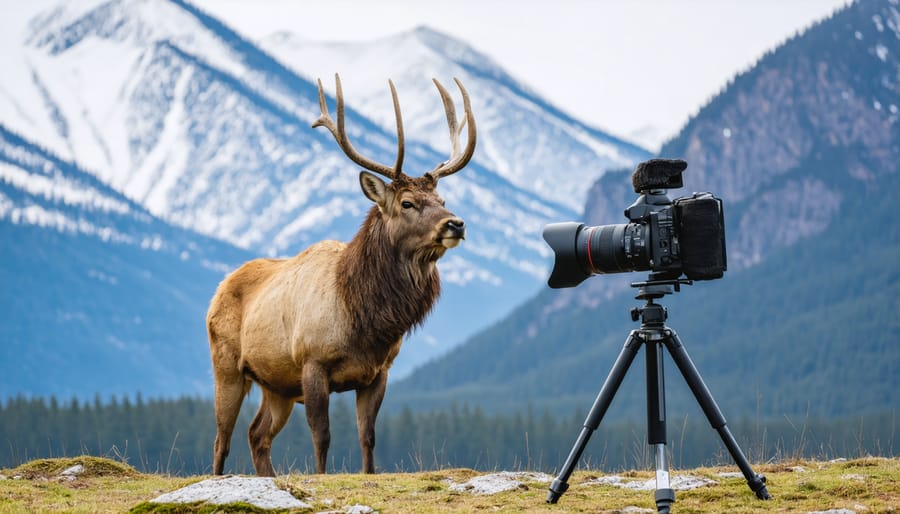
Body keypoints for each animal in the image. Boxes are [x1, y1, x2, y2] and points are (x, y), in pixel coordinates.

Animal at [207, 74, 474, 474]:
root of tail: (220, 288)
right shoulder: (312, 362)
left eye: (442, 201)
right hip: (226, 365)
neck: (363, 318)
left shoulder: (379, 371)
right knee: (222, 439)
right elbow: (322, 437)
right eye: (407, 203)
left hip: (277, 385)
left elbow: (368, 437)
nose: (455, 223)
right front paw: (320, 477)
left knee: (257, 434)